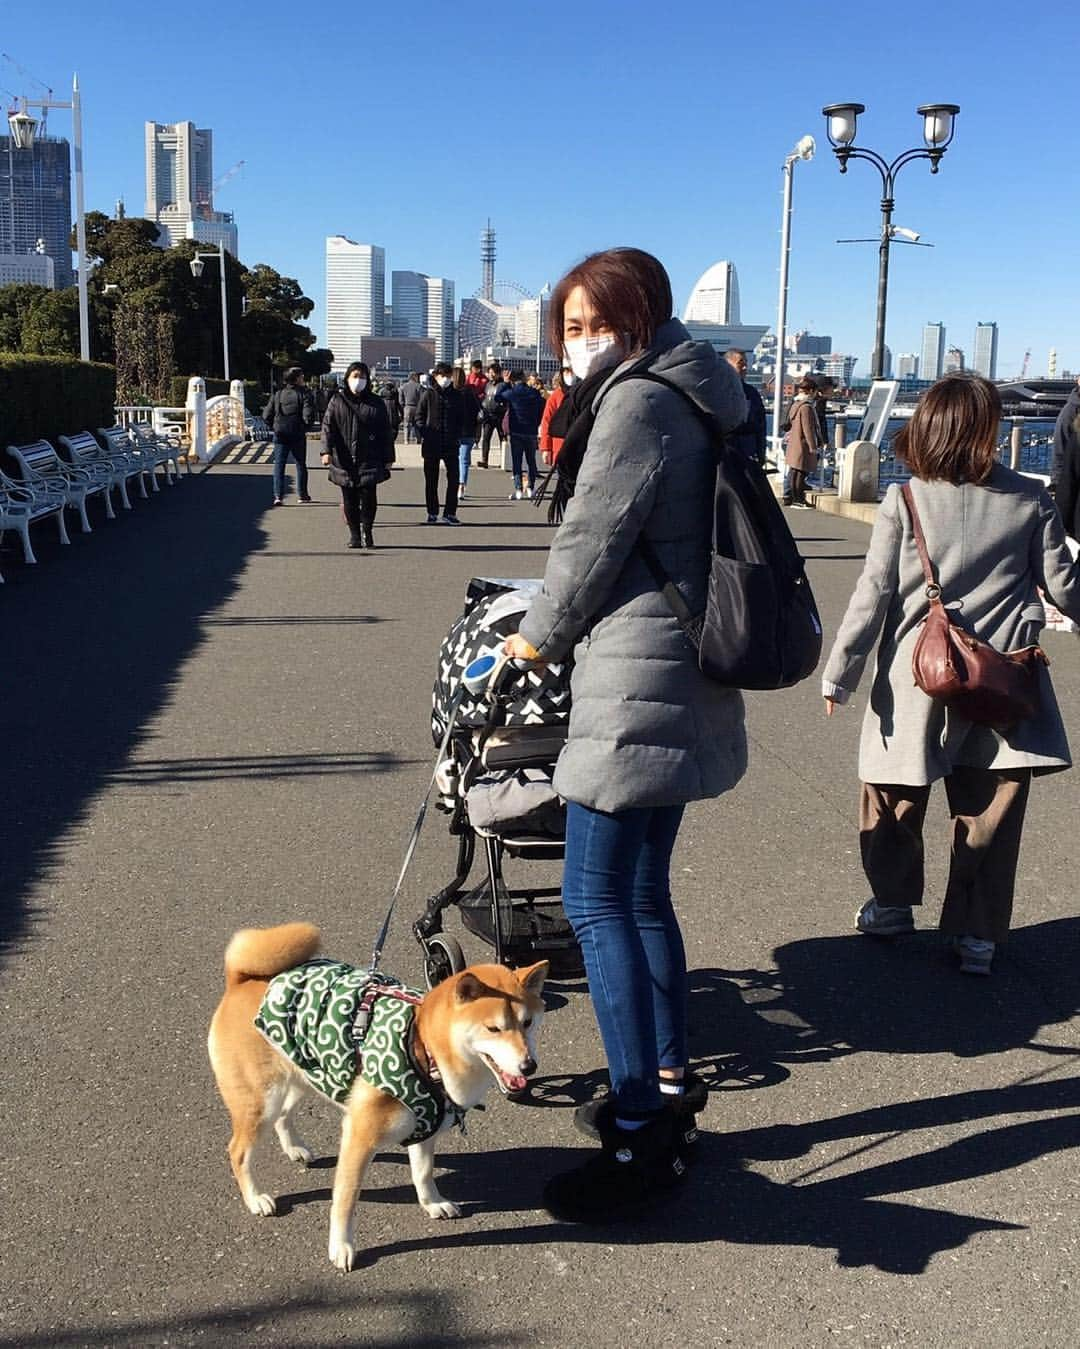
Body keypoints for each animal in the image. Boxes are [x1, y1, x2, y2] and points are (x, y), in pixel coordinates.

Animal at [210, 922, 547, 1268]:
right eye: (494, 1029)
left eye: (527, 1023)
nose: (529, 1065)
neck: (423, 1047)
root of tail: (241, 980)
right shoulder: (359, 1137)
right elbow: (345, 1200)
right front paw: (341, 1246)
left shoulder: (425, 1127)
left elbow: (423, 1173)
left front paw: (431, 1203)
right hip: (262, 1100)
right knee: (239, 1151)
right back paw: (256, 1198)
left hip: (301, 1075)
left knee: (283, 1115)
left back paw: (294, 1148)